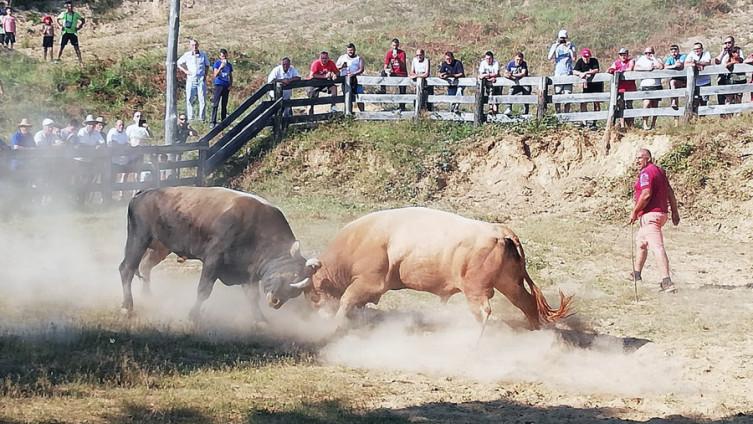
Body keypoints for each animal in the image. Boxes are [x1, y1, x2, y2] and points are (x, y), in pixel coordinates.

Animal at [302, 207, 572, 330]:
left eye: (313, 294)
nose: (315, 313)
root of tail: (499, 231)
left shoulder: (370, 282)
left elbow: (347, 299)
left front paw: (335, 325)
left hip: (476, 290)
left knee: (483, 312)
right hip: (509, 284)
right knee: (526, 303)